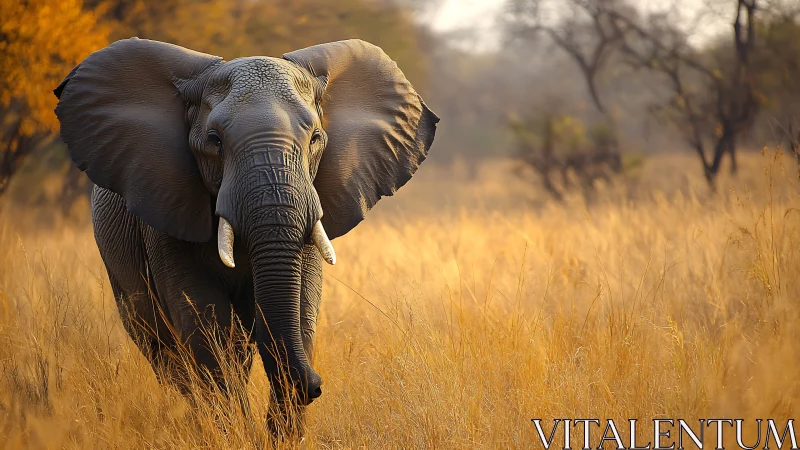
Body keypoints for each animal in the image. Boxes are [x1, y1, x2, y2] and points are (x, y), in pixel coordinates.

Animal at [53, 37, 438, 435]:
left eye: (315, 138)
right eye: (214, 140)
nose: (315, 385)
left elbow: (301, 310)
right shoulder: (166, 218)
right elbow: (206, 324)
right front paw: (235, 432)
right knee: (165, 350)